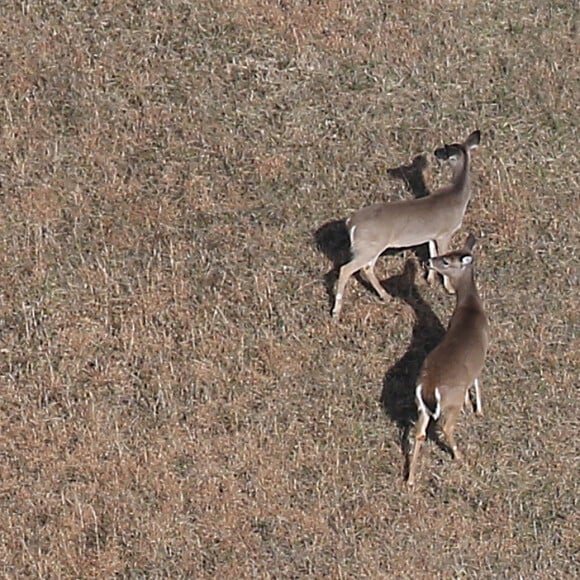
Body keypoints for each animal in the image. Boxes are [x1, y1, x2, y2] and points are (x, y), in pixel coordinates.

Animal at [330, 130, 480, 320]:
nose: (435, 151)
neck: (457, 196)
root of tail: (351, 223)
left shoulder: (431, 235)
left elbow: (432, 253)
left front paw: (430, 279)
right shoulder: (444, 232)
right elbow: (443, 254)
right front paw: (449, 288)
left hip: (370, 247)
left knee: (367, 267)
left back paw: (386, 296)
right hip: (369, 247)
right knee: (346, 269)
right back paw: (336, 312)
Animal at [408, 233, 490, 488]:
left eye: (446, 260)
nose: (429, 261)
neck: (470, 309)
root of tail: (428, 387)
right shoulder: (480, 361)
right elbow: (477, 383)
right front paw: (478, 410)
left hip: (421, 406)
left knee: (419, 433)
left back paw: (410, 480)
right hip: (448, 403)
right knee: (445, 427)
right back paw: (459, 455)